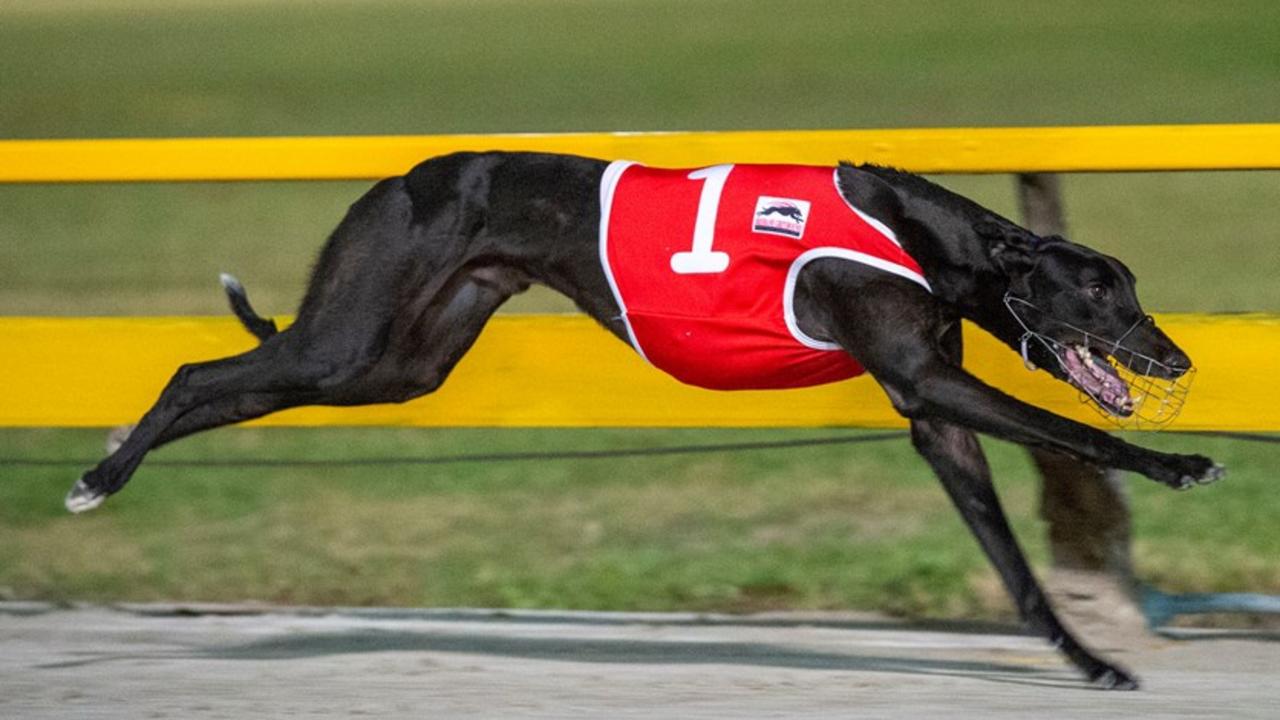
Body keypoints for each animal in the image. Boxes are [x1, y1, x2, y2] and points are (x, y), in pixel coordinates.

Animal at [64, 151, 1223, 681]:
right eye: (1102, 291)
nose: (1175, 357)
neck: (924, 233)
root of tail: (403, 176)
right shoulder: (926, 379)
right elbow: (1076, 428)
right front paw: (1178, 467)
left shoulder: (932, 413)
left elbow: (1014, 562)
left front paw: (1088, 660)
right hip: (349, 336)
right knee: (195, 373)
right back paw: (99, 476)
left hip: (398, 363)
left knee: (239, 379)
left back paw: (108, 464)